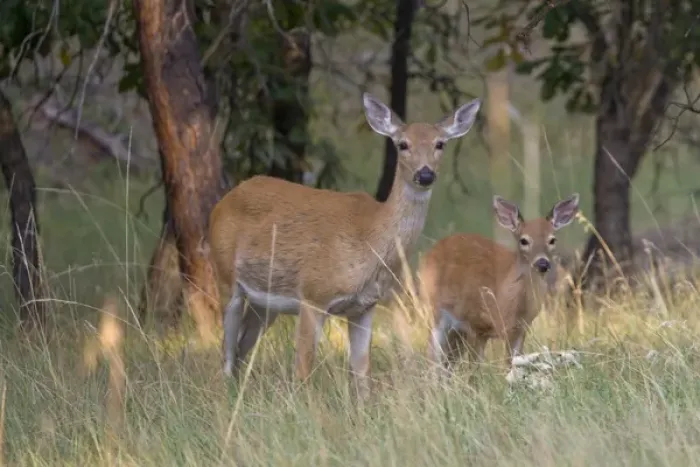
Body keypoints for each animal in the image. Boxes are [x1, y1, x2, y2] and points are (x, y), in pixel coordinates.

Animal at [208, 92, 482, 399]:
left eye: (440, 143)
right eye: (402, 144)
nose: (425, 175)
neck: (369, 237)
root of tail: (224, 201)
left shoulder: (365, 306)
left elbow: (362, 374)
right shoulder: (313, 295)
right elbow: (303, 369)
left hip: (265, 304)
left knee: (241, 347)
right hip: (225, 277)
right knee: (226, 353)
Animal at [418, 193, 580, 373]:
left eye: (552, 240)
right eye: (524, 240)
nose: (542, 263)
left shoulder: (521, 328)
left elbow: (512, 362)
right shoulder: (476, 324)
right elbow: (476, 370)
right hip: (434, 311)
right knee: (433, 355)